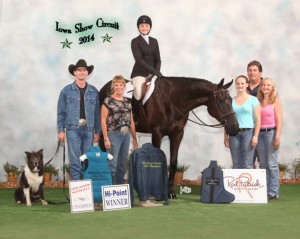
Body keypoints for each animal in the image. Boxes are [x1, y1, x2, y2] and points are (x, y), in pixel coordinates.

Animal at [98, 76, 239, 198]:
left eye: (231, 100)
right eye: (221, 100)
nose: (234, 127)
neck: (172, 101)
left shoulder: (177, 134)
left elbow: (173, 162)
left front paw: (170, 192)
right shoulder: (157, 133)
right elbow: (157, 160)